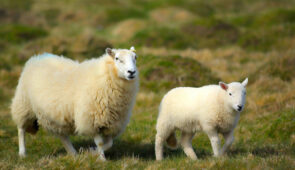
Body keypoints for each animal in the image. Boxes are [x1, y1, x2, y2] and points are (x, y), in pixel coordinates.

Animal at [11, 45, 139, 160]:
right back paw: (22, 153)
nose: (131, 72)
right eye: (117, 58)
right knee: (21, 129)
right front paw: (101, 159)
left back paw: (73, 153)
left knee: (62, 135)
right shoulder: (91, 120)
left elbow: (109, 143)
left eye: (135, 58)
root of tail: (37, 57)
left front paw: (91, 151)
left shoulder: (112, 123)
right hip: (24, 104)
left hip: (53, 115)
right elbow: (100, 143)